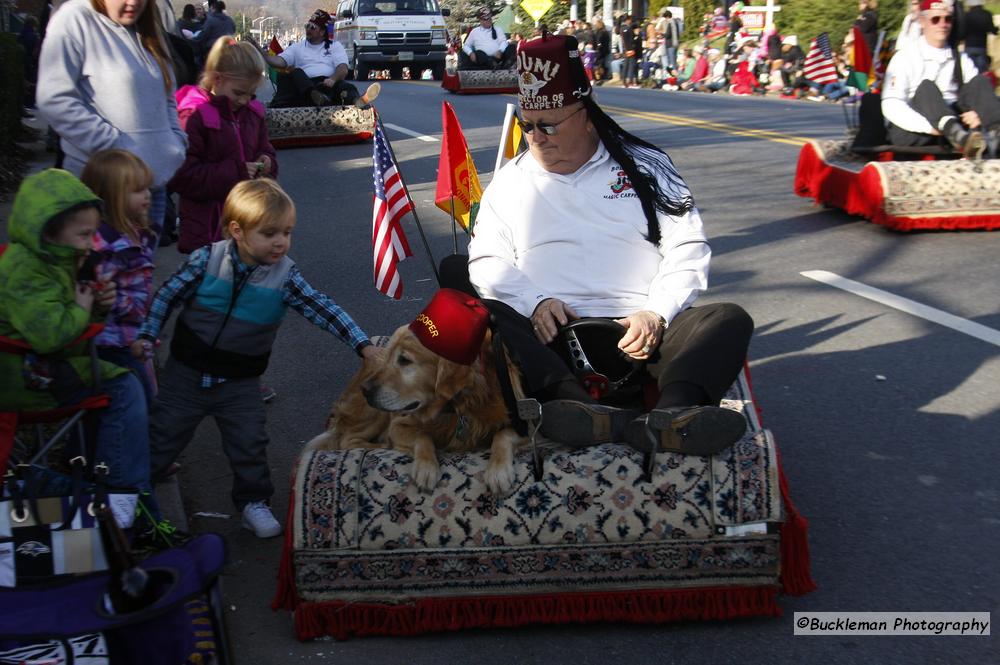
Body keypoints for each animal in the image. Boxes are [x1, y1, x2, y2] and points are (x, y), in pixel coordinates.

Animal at [302, 322, 524, 492]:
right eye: (391, 356)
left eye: (404, 360)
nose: (365, 389)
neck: (457, 407)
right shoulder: (399, 424)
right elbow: (422, 436)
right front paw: (426, 468)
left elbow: (502, 434)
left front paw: (498, 471)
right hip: (376, 415)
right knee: (348, 440)